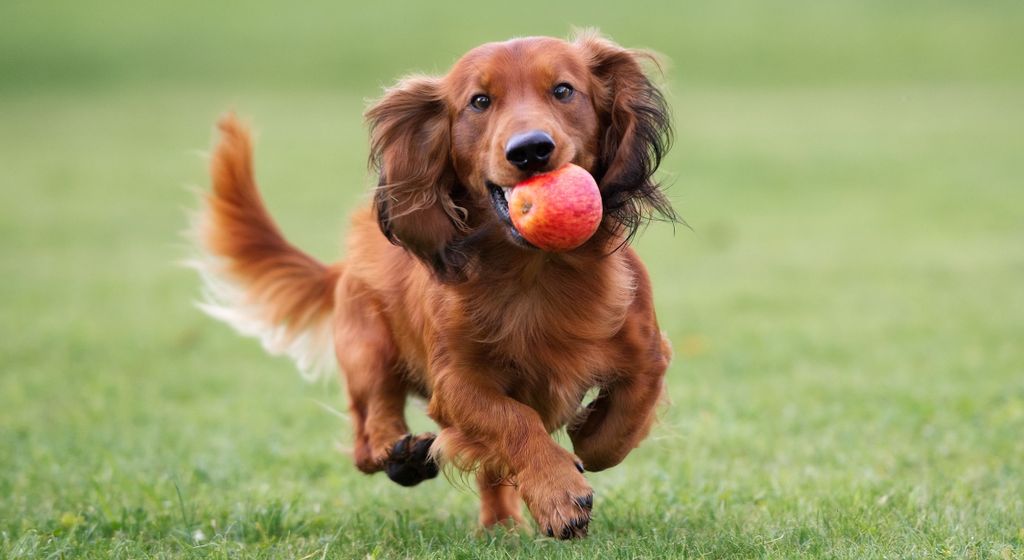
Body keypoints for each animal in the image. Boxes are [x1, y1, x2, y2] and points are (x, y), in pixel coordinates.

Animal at [192, 29, 675, 540]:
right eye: (479, 101)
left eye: (564, 90)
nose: (529, 150)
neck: (535, 272)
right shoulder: (457, 382)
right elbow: (514, 422)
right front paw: (559, 492)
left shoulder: (647, 351)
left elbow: (622, 423)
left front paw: (586, 437)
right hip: (368, 348)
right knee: (369, 434)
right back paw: (401, 456)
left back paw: (500, 524)